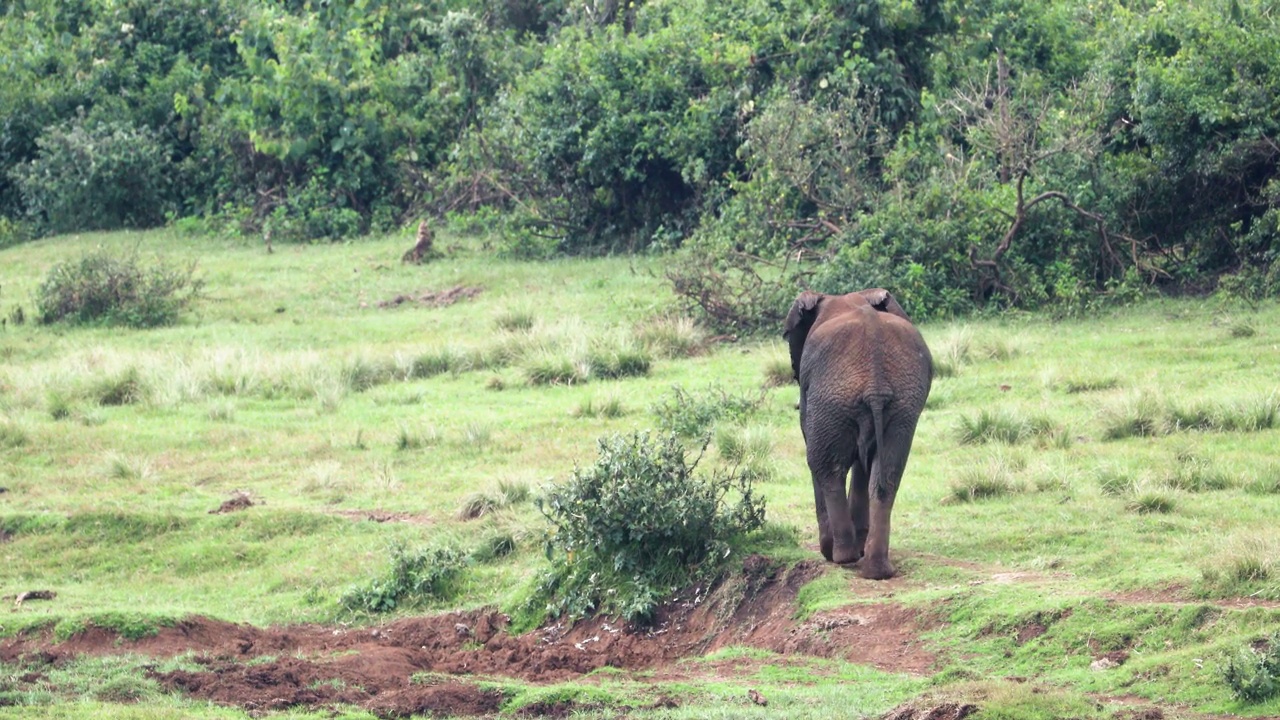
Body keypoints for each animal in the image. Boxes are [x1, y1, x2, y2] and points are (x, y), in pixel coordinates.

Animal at [778, 285, 931, 576]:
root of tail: (875, 384)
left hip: (830, 398)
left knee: (825, 466)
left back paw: (840, 555)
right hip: (901, 407)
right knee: (887, 475)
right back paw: (876, 569)